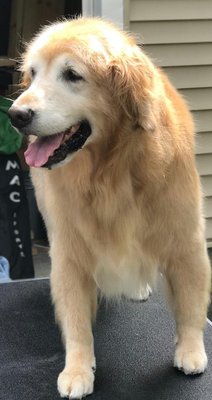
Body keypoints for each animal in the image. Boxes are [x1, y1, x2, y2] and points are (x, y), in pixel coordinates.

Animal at [8, 17, 210, 398]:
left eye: (72, 74)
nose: (16, 115)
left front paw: (191, 349)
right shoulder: (69, 251)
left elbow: (191, 303)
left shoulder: (186, 240)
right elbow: (75, 320)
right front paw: (77, 368)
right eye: (33, 73)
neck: (110, 171)